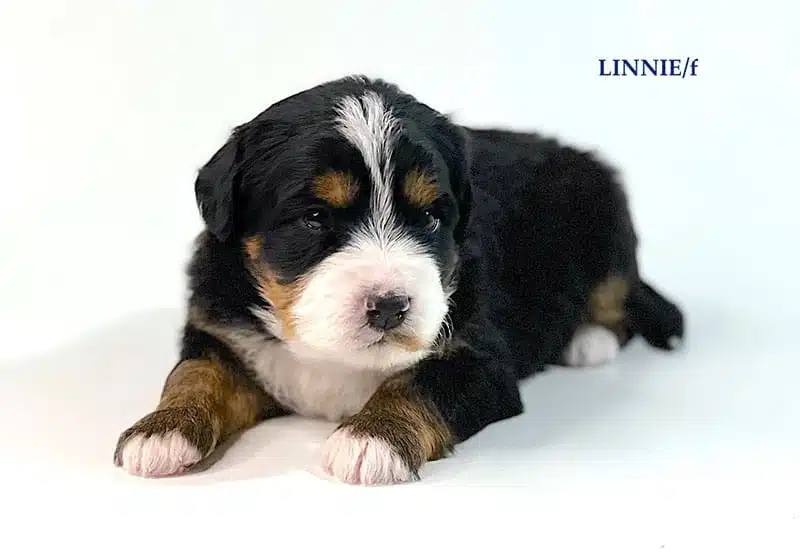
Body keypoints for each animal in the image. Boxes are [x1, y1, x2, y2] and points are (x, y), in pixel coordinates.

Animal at [114, 76, 680, 484]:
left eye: (430, 217)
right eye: (315, 218)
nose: (389, 306)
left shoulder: (478, 357)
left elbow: (417, 383)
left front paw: (373, 438)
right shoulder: (218, 329)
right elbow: (194, 374)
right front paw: (161, 431)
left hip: (606, 216)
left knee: (618, 298)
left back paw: (588, 340)